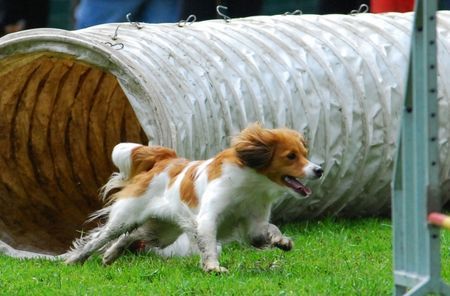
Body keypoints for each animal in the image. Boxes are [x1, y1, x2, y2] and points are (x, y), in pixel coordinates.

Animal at [64, 123, 324, 272]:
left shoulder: (255, 225)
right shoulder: (207, 219)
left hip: (161, 233)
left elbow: (270, 229)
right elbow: (208, 245)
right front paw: (212, 267)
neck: (251, 184)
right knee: (99, 238)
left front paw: (282, 241)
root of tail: (165, 159)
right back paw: (75, 260)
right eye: (291, 156)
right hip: (125, 218)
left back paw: (110, 256)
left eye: (305, 153)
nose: (319, 170)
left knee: (131, 237)